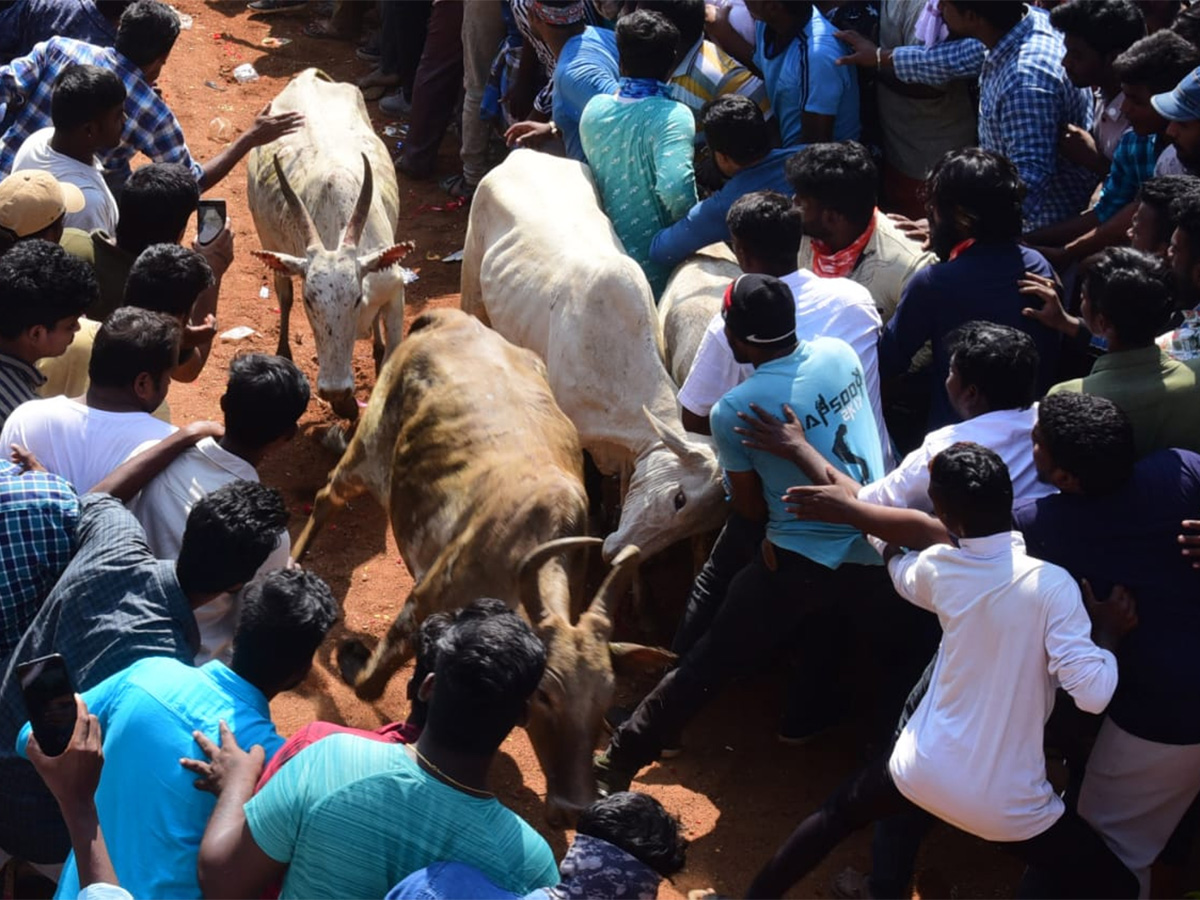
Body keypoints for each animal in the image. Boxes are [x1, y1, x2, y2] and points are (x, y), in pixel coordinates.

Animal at [246, 68, 415, 422]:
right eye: (310, 301)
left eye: (355, 299)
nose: (335, 389)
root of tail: (306, 76)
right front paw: (345, 404)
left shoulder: (393, 290)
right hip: (271, 242)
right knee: (283, 297)